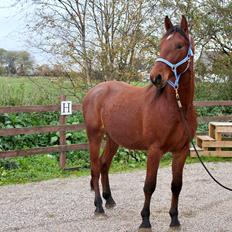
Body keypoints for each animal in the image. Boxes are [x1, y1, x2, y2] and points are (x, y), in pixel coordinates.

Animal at [82, 15, 197, 231]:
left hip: (113, 139)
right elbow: (149, 186)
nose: (156, 77)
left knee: (104, 164)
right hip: (94, 136)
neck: (178, 107)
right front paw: (145, 220)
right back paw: (99, 207)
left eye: (179, 45)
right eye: (161, 44)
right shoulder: (154, 150)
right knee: (94, 168)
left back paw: (109, 200)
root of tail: (94, 91)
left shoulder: (181, 151)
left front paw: (174, 219)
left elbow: (176, 186)